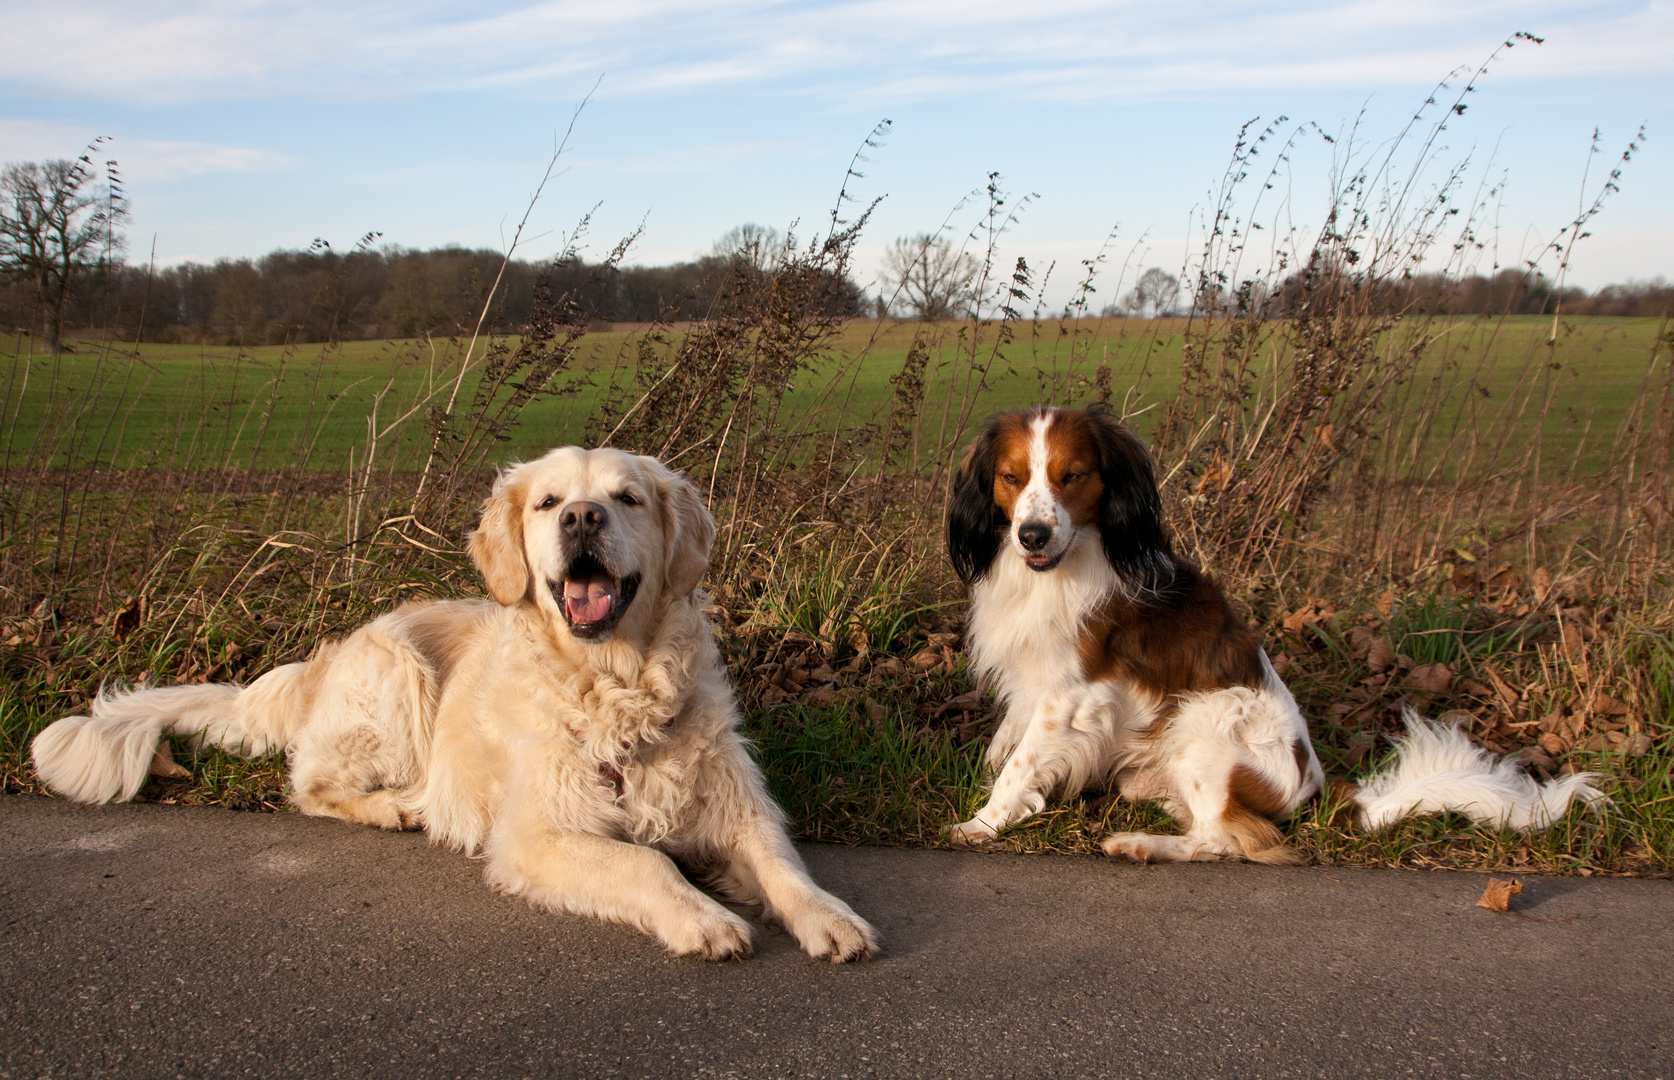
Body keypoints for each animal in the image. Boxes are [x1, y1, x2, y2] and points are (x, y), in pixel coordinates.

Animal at [32, 445, 883, 957]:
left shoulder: (737, 808)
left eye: (627, 498)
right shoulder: (537, 832)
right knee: (309, 784)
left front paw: (830, 916)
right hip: (398, 673)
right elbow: (645, 862)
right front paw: (704, 918)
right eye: (548, 502)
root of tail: (320, 659)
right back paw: (392, 808)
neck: (617, 685)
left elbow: (782, 865)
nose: (582, 518)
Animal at [950, 405, 1600, 857]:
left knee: (1230, 839)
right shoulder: (1031, 681)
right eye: (1011, 478)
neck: (1061, 566)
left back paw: (1139, 845)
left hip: (1206, 719)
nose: (1032, 534)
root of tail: (1315, 786)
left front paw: (982, 822)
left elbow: (1020, 764)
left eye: (1073, 476)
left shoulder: (1069, 695)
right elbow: (1005, 743)